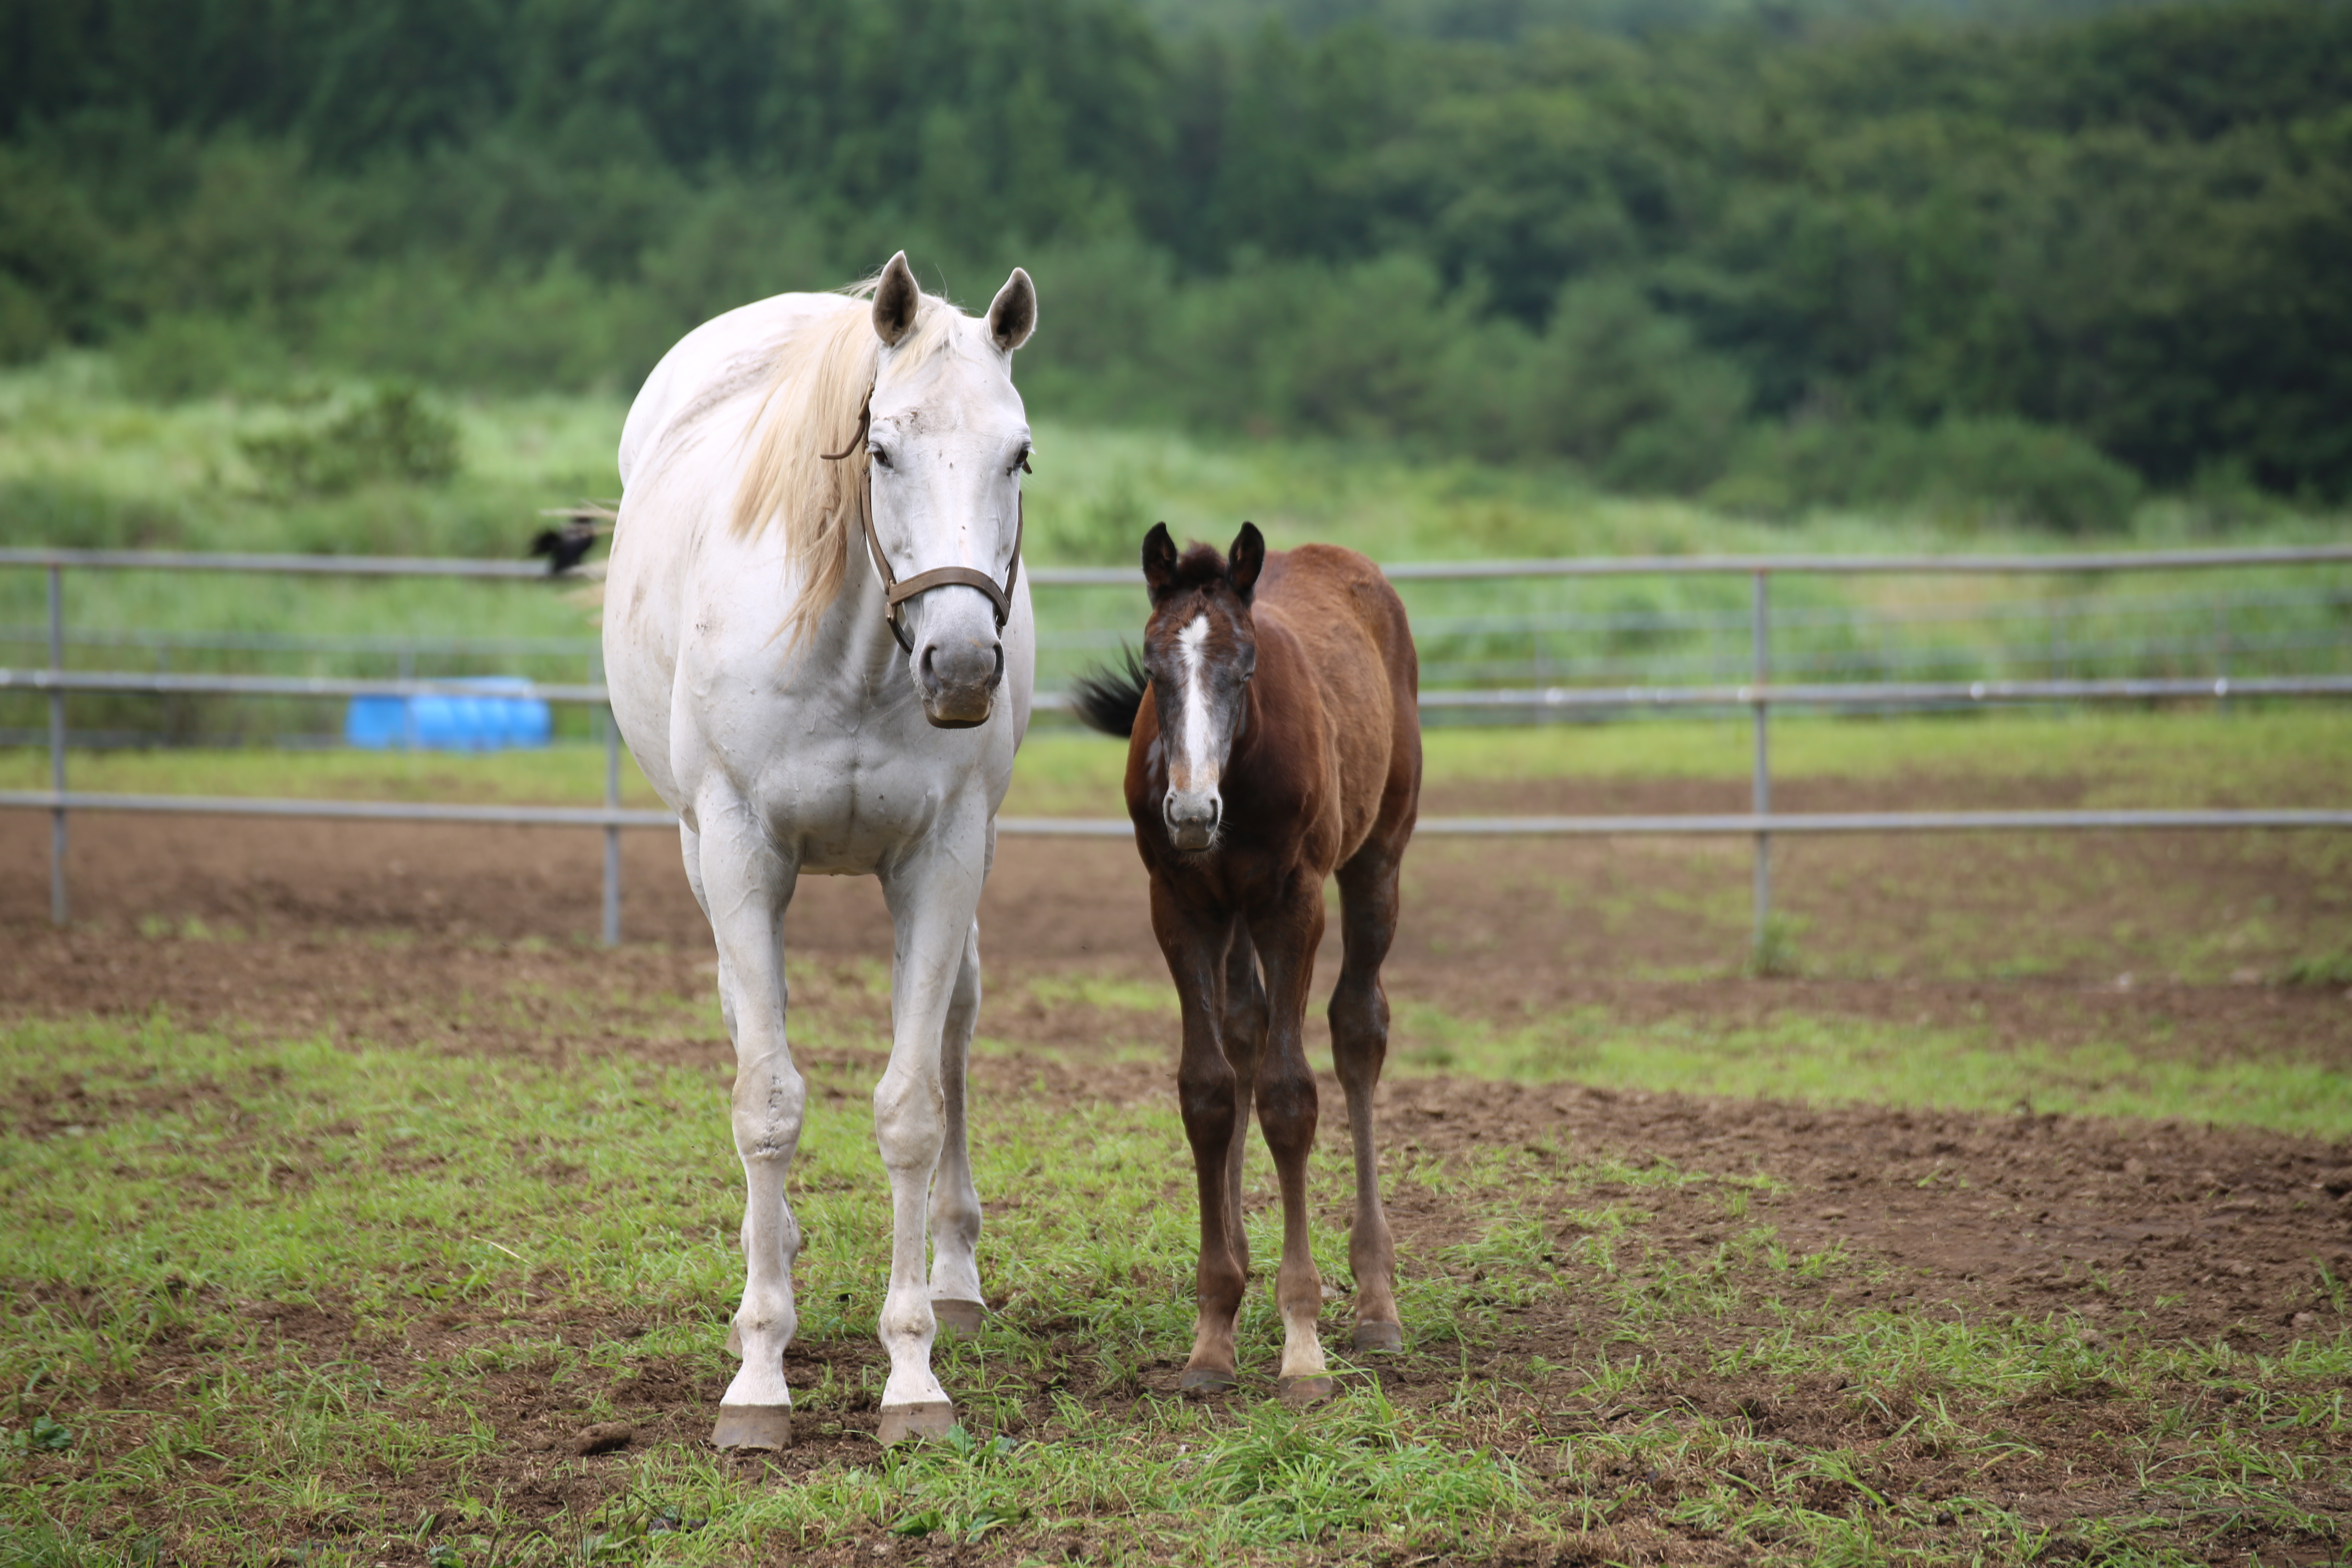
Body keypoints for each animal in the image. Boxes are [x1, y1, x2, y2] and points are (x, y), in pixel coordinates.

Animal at [607, 255, 1039, 1448]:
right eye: (880, 449)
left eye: (1019, 454)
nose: (960, 665)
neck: (855, 653)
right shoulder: (741, 852)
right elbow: (767, 1102)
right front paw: (760, 1372)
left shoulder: (942, 860)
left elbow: (910, 1108)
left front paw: (914, 1371)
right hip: (702, 856)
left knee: (952, 1032)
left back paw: (953, 1275)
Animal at [1077, 522, 1421, 1401]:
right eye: (1153, 665)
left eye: (1247, 665)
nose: (1193, 811)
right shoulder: (1181, 905)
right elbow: (1207, 1093)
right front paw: (1213, 1333)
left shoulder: (1291, 902)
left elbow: (1290, 1095)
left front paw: (1303, 1343)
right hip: (1229, 914)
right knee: (1243, 1033)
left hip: (1378, 859)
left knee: (1358, 1029)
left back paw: (1376, 1303)